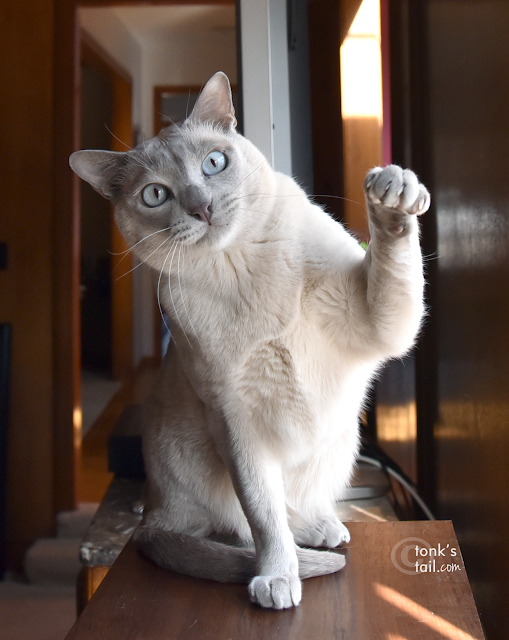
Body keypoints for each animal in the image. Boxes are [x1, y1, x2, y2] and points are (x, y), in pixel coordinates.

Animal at [69, 71, 428, 608]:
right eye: (155, 195)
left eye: (214, 163)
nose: (202, 207)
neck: (243, 267)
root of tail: (152, 510)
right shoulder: (237, 421)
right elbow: (263, 516)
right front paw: (278, 580)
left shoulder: (380, 325)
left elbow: (393, 249)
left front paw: (393, 190)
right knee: (242, 526)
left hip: (340, 444)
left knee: (297, 509)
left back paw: (326, 529)